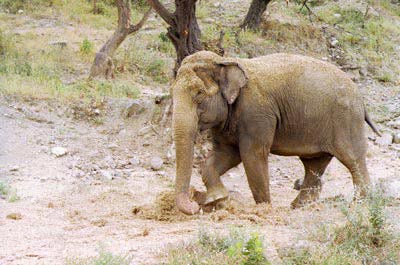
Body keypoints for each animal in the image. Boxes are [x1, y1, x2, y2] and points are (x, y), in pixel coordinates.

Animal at [171, 50, 378, 214]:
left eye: (199, 94)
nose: (194, 204)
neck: (225, 60)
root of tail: (361, 98)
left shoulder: (256, 114)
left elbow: (252, 155)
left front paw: (264, 209)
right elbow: (226, 154)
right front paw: (218, 198)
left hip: (346, 120)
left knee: (352, 159)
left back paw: (360, 204)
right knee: (314, 164)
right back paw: (299, 207)